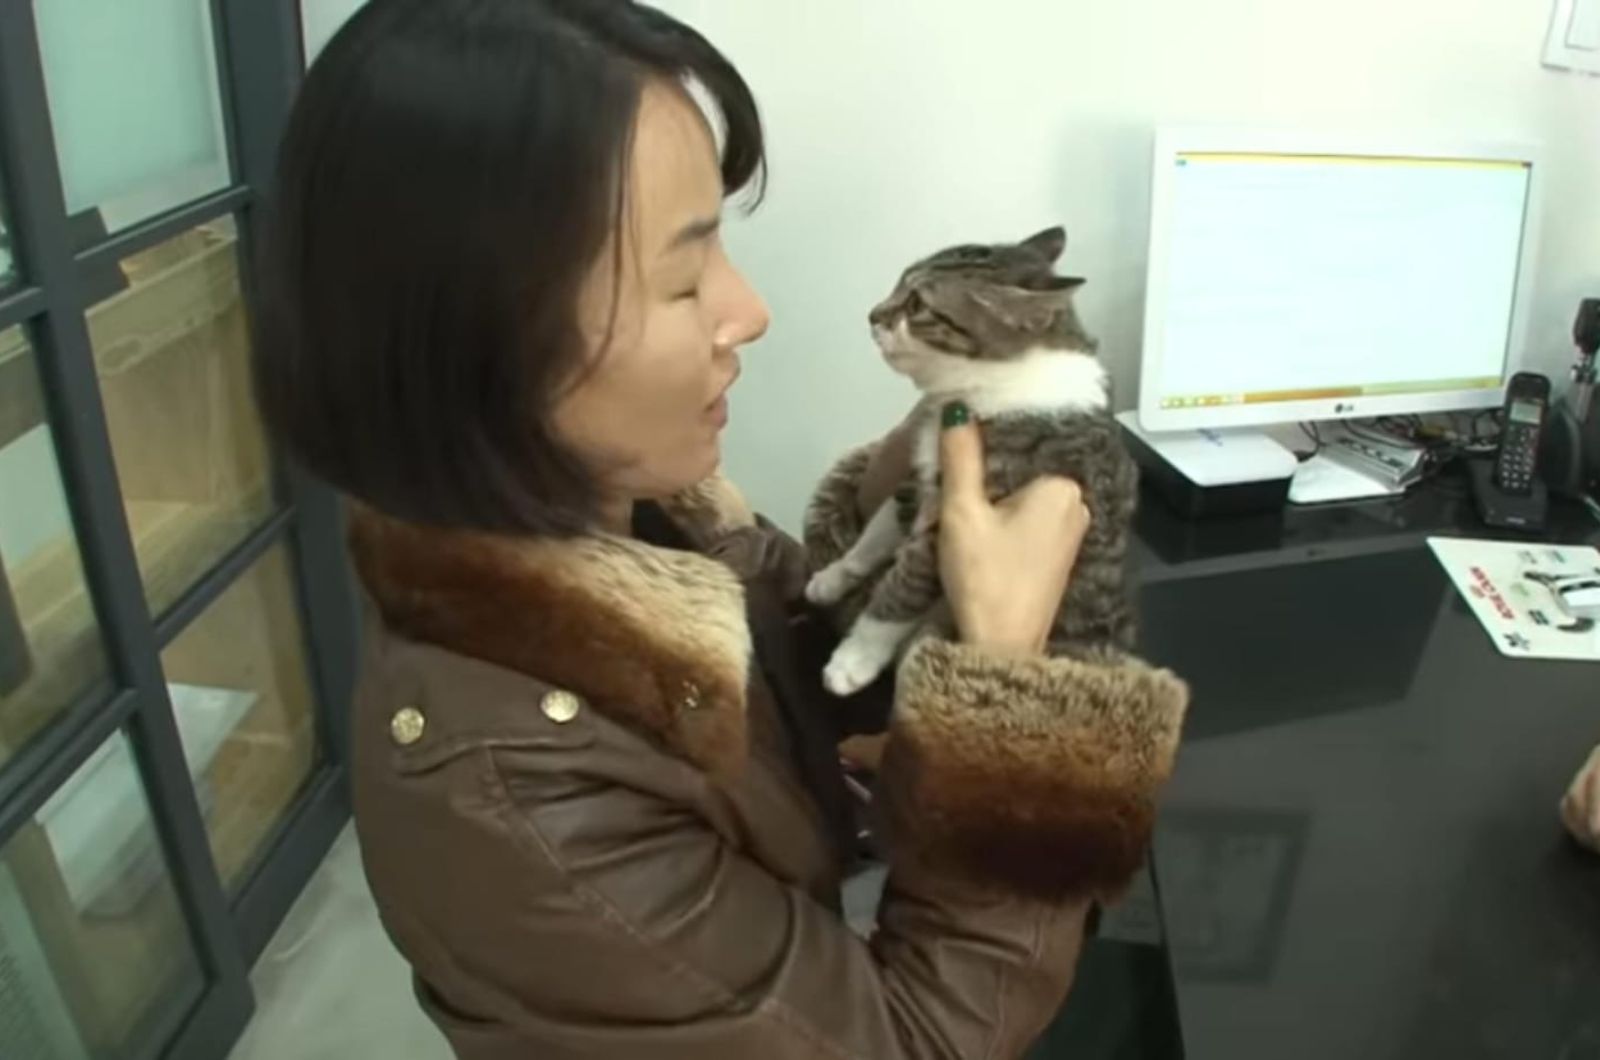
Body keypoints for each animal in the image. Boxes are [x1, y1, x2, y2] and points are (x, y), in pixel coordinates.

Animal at [812, 225, 1139, 698]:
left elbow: (902, 588)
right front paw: (834, 575)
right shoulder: (920, 480)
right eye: (898, 282)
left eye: (917, 305)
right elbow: (876, 535)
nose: (872, 315)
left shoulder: (953, 514)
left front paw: (854, 658)